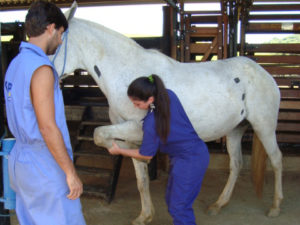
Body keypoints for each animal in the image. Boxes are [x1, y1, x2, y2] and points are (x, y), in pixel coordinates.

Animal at [51, 2, 284, 224]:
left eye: (54, 44)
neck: (129, 74)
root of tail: (262, 73)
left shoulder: (136, 129)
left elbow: (99, 134)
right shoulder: (128, 133)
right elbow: (141, 180)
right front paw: (145, 216)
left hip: (264, 127)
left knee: (276, 159)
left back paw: (275, 207)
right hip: (236, 129)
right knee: (236, 164)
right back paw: (218, 205)